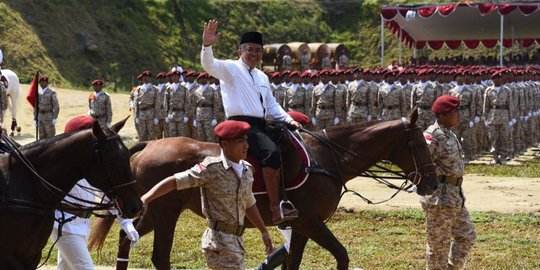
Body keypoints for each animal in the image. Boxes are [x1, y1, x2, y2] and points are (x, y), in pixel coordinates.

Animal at [92, 110, 438, 270]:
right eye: (421, 144)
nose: (433, 183)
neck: (328, 158)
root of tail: (152, 143)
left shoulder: (300, 226)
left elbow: (292, 262)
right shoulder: (310, 222)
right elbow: (341, 255)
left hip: (153, 211)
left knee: (126, 237)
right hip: (165, 213)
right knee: (158, 254)